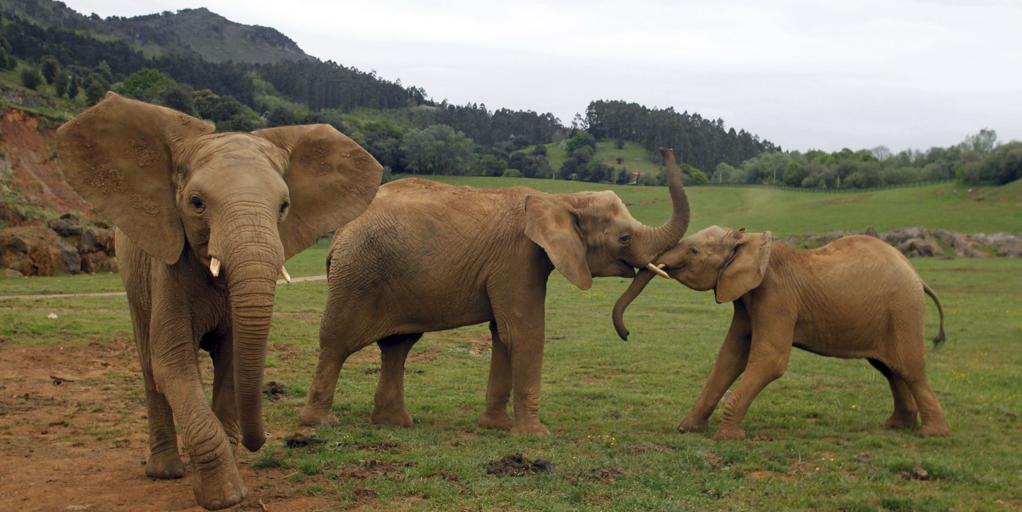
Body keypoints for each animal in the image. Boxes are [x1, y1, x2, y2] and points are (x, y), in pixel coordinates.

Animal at [57, 93, 383, 509]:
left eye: (284, 207)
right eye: (196, 203)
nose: (260, 440)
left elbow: (231, 360)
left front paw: (231, 476)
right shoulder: (168, 268)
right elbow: (172, 365)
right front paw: (224, 496)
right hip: (132, 272)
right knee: (149, 365)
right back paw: (165, 472)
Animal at [300, 148, 690, 435]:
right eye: (624, 237)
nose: (626, 334)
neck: (559, 198)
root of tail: (339, 234)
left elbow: (502, 335)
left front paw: (497, 427)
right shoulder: (518, 260)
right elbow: (524, 332)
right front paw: (535, 435)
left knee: (398, 346)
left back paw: (395, 423)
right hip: (358, 276)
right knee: (336, 343)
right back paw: (320, 424)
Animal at [612, 226, 950, 440]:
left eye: (694, 251)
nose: (627, 333)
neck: (750, 243)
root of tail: (917, 275)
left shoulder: (776, 297)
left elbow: (769, 360)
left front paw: (727, 437)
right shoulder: (747, 298)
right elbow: (730, 357)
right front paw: (687, 429)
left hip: (903, 310)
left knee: (909, 367)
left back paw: (931, 433)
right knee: (889, 368)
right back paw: (896, 426)